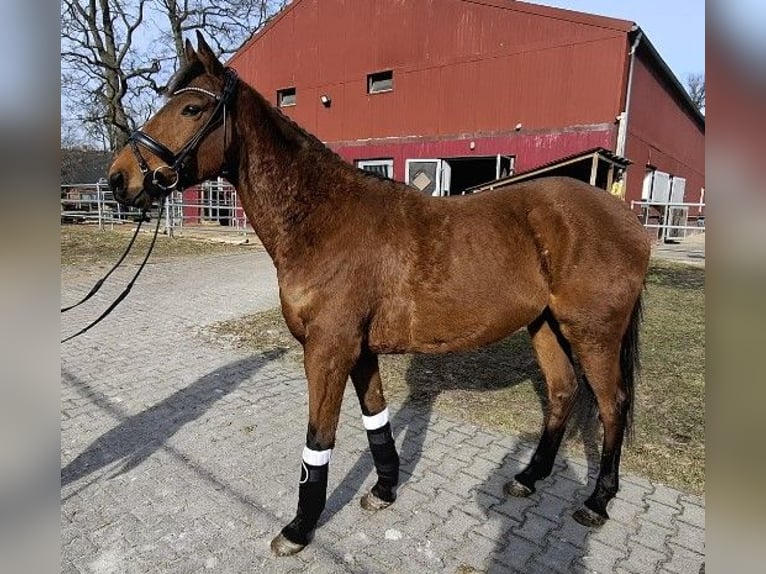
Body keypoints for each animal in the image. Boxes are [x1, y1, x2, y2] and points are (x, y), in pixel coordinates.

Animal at [108, 32, 650, 556]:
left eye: (191, 109)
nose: (119, 178)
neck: (323, 218)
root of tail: (628, 220)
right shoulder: (360, 351)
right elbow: (377, 421)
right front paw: (384, 490)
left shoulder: (328, 351)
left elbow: (319, 439)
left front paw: (300, 527)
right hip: (545, 326)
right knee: (563, 393)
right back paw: (529, 477)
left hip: (594, 335)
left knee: (612, 405)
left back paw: (597, 501)